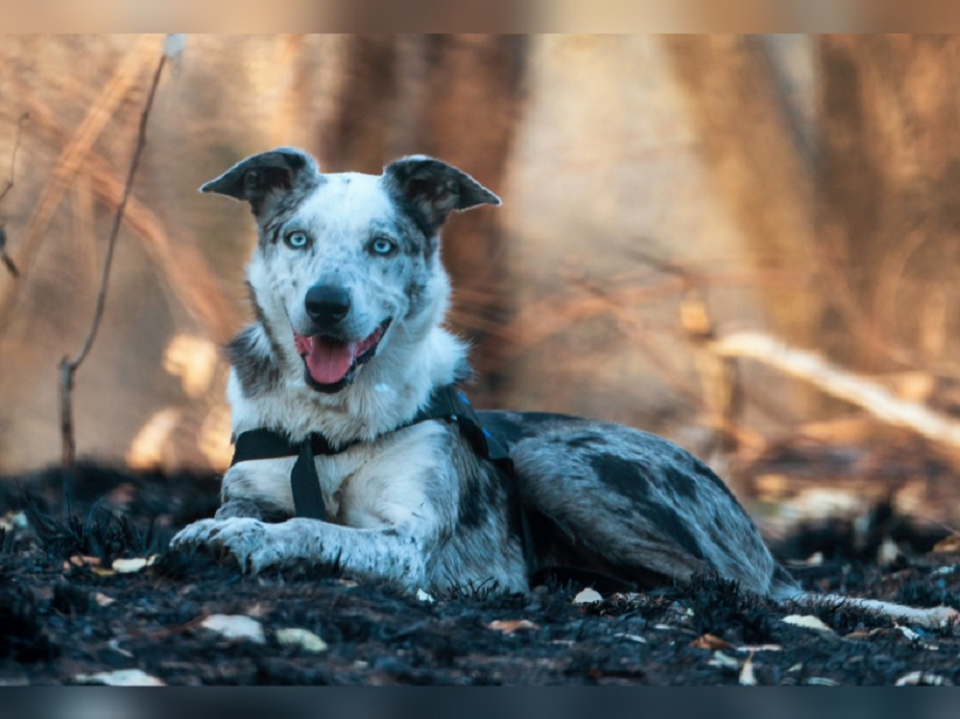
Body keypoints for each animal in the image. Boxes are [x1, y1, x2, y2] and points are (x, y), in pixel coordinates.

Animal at [171, 149, 952, 628]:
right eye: (296, 237)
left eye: (382, 245)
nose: (327, 305)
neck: (330, 426)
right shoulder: (256, 482)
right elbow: (261, 511)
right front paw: (228, 527)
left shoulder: (407, 543)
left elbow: (313, 527)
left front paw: (244, 538)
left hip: (555, 464)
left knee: (722, 584)